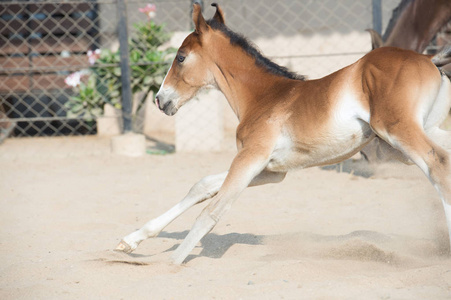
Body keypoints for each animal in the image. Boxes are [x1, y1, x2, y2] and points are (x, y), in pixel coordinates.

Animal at [116, 3, 451, 264]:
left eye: (181, 57)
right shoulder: (271, 170)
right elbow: (203, 186)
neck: (263, 96)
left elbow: (211, 212)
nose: (161, 100)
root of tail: (429, 59)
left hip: (398, 132)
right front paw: (129, 242)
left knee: (438, 166)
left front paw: (169, 265)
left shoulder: (251, 157)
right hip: (423, 132)